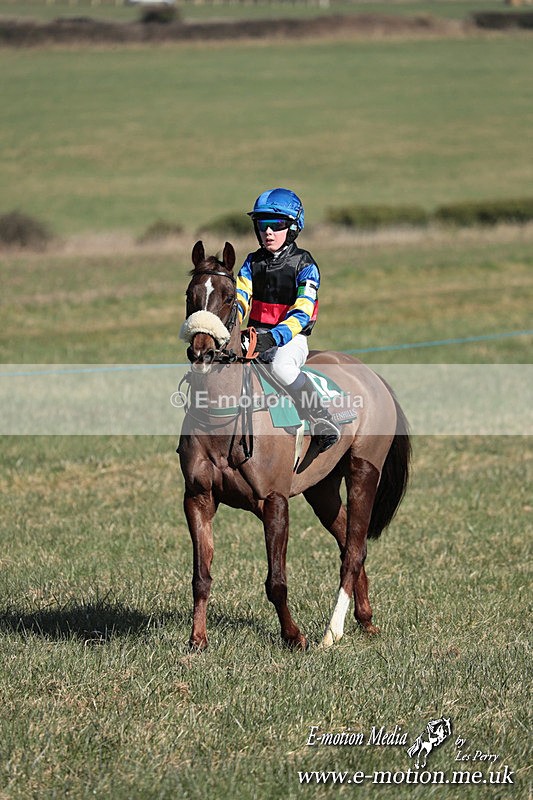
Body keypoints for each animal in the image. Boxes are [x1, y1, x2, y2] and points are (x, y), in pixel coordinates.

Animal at [177, 240, 411, 651]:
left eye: (227, 298)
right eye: (191, 296)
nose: (201, 352)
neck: (222, 420)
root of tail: (372, 375)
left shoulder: (274, 501)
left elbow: (277, 581)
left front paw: (293, 636)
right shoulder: (198, 498)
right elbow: (201, 576)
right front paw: (197, 639)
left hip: (364, 470)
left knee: (354, 550)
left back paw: (332, 632)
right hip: (322, 489)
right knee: (349, 541)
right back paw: (365, 619)